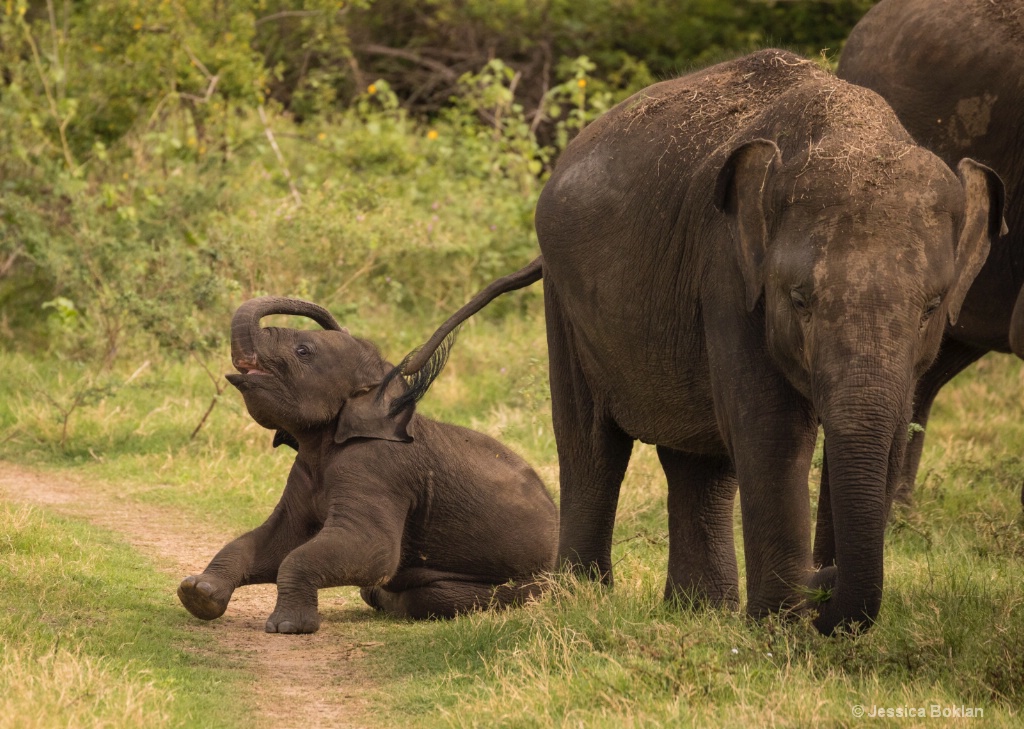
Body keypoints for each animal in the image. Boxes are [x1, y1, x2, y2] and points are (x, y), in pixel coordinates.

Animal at [179, 296, 557, 630]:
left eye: (303, 351)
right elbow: (280, 538)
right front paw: (197, 594)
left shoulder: (378, 467)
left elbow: (372, 550)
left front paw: (287, 627)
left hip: (527, 586)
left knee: (431, 596)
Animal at [387, 49, 1003, 630]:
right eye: (799, 299)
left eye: (931, 307)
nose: (823, 582)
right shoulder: (727, 269)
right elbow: (771, 431)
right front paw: (781, 631)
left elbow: (890, 426)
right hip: (566, 298)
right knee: (591, 441)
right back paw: (584, 600)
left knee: (696, 461)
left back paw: (696, 610)